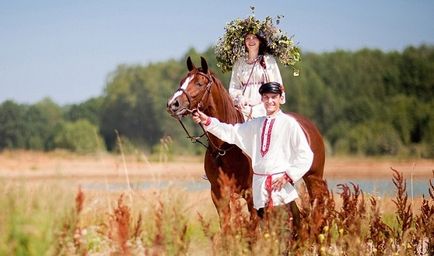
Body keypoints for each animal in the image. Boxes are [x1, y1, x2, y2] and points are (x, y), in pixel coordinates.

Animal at [166, 56, 326, 222]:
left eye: (199, 83)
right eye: (181, 82)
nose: (173, 104)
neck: (225, 148)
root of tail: (309, 126)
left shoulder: (251, 194)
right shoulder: (218, 195)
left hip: (313, 178)